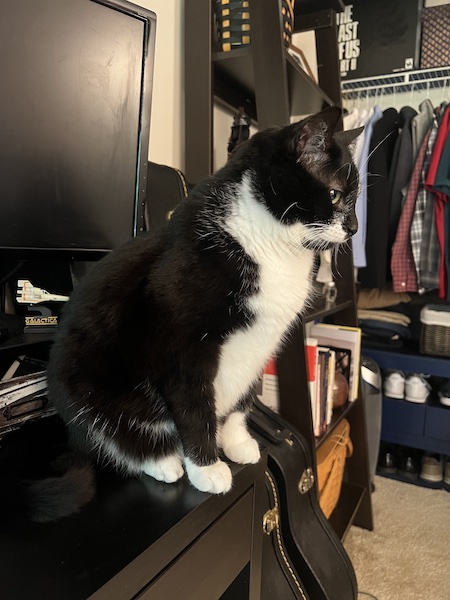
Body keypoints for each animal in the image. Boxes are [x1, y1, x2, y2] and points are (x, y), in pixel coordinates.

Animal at [39, 106, 362, 506]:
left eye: (355, 196)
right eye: (334, 194)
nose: (354, 227)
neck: (269, 243)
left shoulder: (260, 344)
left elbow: (242, 401)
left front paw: (237, 442)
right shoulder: (182, 347)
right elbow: (194, 408)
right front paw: (206, 468)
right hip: (83, 388)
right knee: (116, 437)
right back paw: (164, 461)